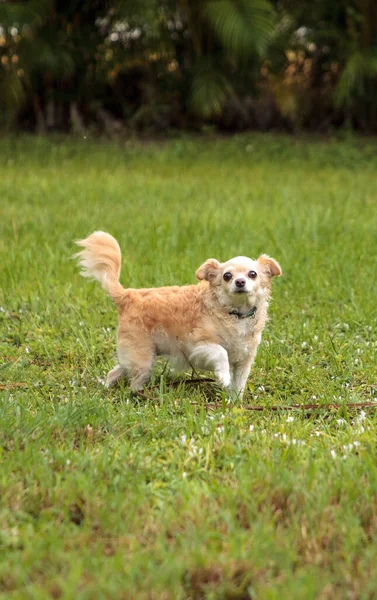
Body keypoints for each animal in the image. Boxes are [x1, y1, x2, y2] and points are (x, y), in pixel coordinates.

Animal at [75, 233, 280, 398]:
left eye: (252, 274)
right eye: (227, 276)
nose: (240, 282)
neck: (236, 314)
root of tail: (127, 295)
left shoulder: (243, 360)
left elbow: (239, 384)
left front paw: (234, 403)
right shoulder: (199, 348)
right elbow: (221, 352)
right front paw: (223, 376)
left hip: (136, 356)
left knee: (116, 371)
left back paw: (107, 387)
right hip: (142, 359)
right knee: (133, 381)